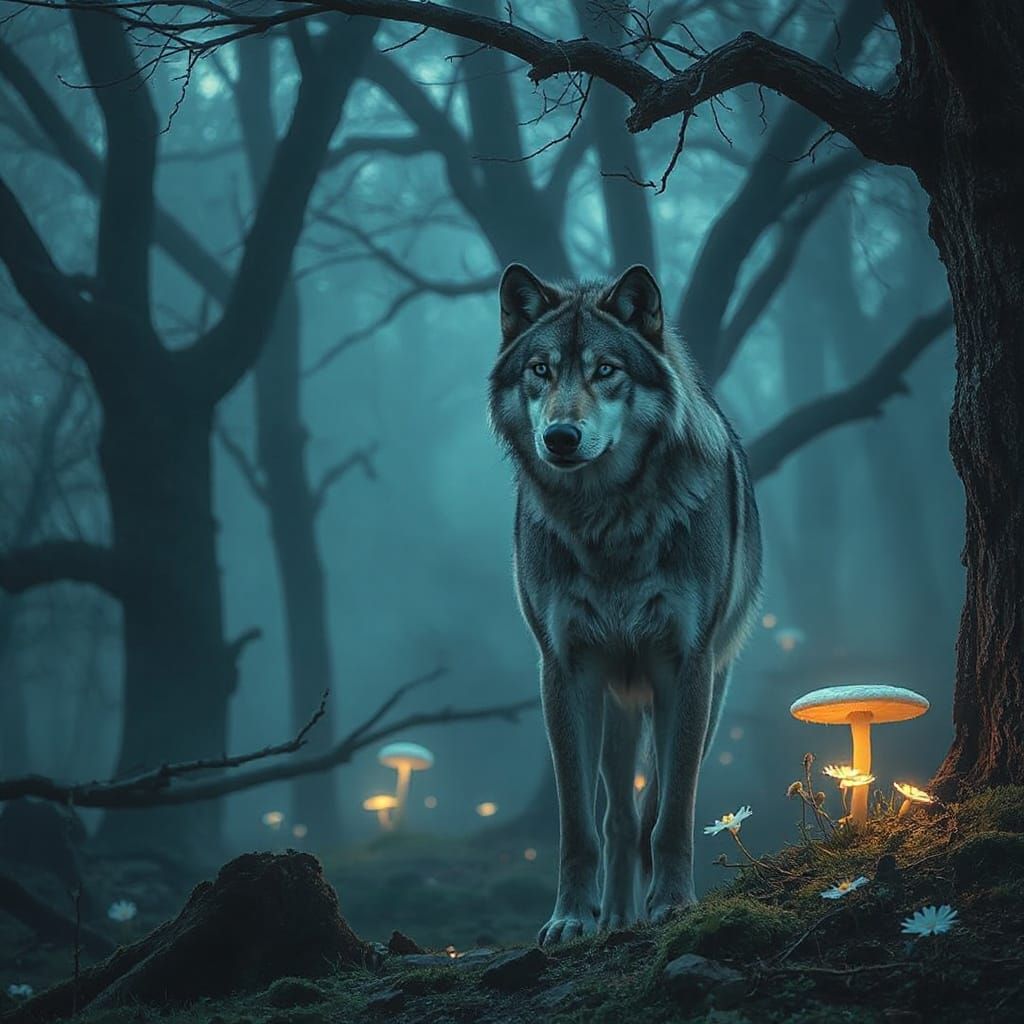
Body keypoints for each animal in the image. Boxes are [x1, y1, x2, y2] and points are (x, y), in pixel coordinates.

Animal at [488, 263, 762, 946]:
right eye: (541, 369)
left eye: (606, 369)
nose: (560, 437)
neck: (606, 521)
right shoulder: (564, 669)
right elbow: (578, 825)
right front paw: (570, 918)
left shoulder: (685, 666)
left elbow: (672, 812)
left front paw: (672, 904)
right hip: (616, 701)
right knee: (616, 815)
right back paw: (613, 916)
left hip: (702, 694)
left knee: (648, 807)